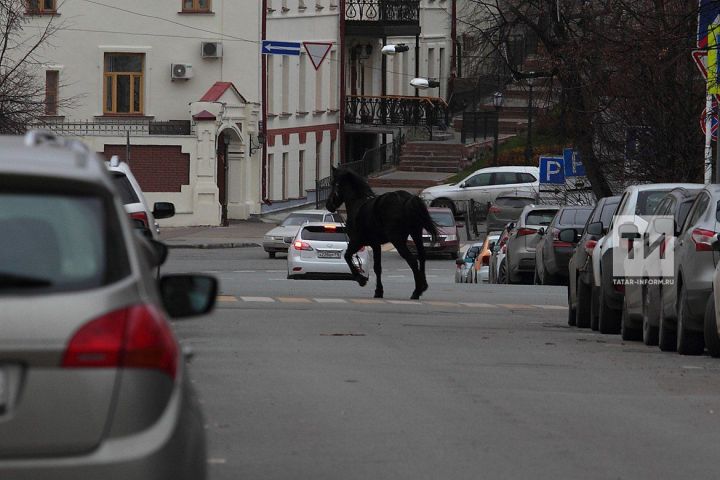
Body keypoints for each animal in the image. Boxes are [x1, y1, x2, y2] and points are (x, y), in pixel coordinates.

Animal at [326, 167, 438, 298]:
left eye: (333, 184)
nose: (328, 205)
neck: (357, 204)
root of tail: (407, 199)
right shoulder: (375, 244)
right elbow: (377, 268)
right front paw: (379, 291)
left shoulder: (357, 241)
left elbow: (347, 256)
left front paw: (361, 279)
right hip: (416, 234)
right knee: (421, 256)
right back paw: (423, 286)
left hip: (397, 240)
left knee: (412, 260)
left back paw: (416, 291)